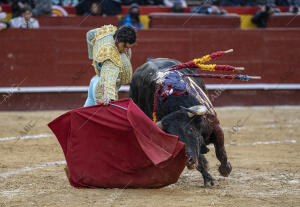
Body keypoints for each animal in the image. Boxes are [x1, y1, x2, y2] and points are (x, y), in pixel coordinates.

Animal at [129, 58, 232, 186]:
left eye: (191, 130)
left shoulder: (215, 127)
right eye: (175, 139)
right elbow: (199, 160)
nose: (188, 160)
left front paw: (225, 169)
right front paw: (208, 179)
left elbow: (220, 151)